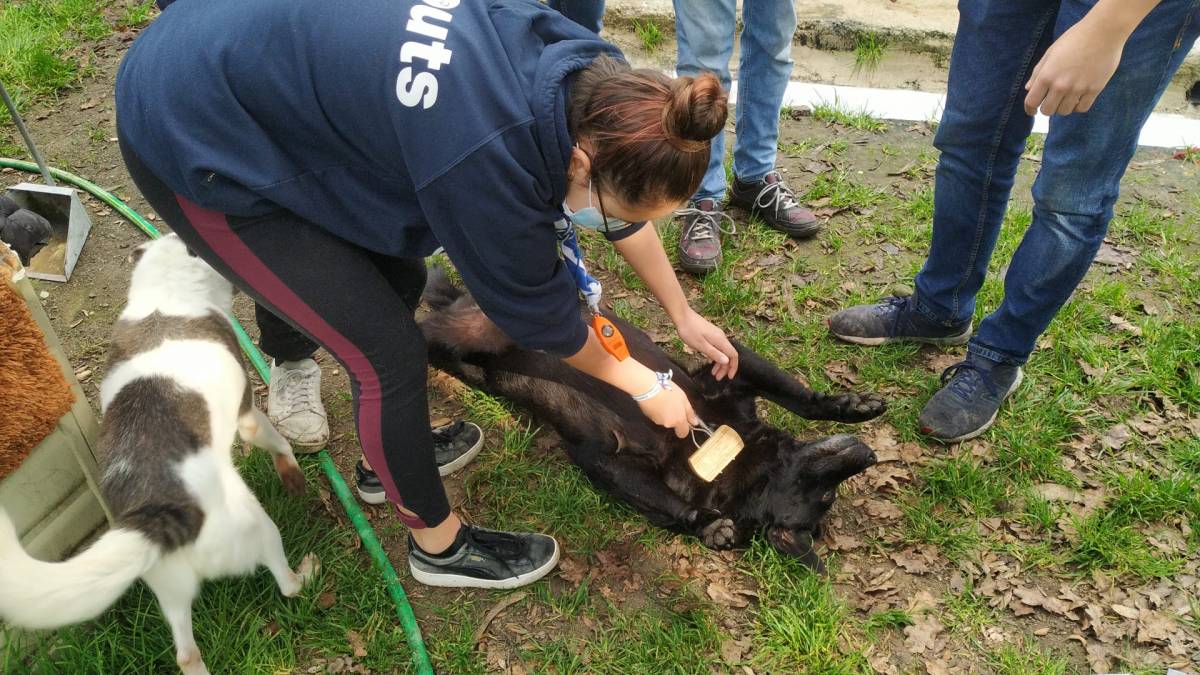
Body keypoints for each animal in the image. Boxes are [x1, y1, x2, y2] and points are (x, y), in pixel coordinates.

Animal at [420, 271, 883, 566]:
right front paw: (849, 406)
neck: (734, 464)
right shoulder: (729, 369)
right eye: (828, 495)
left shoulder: (609, 460)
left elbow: (667, 503)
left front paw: (708, 526)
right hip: (479, 325)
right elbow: (797, 395)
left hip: (472, 357)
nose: (870, 456)